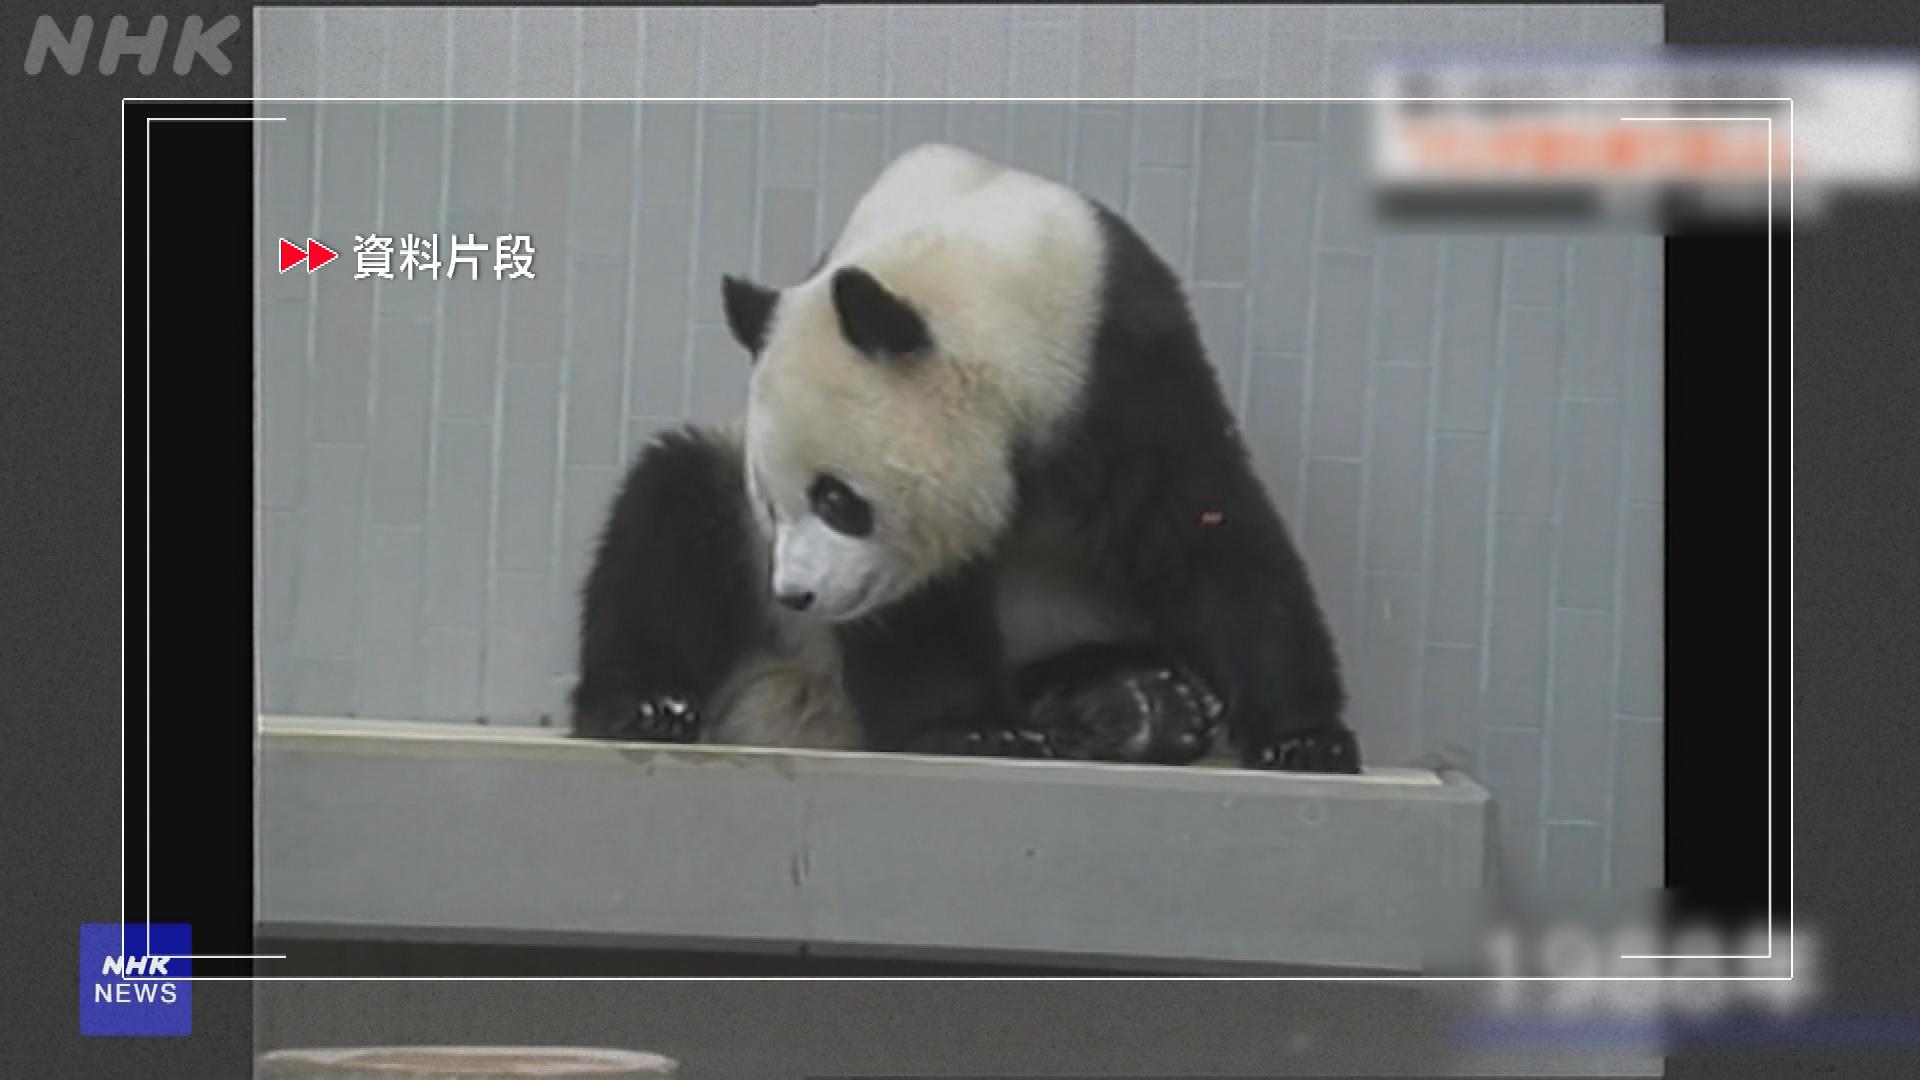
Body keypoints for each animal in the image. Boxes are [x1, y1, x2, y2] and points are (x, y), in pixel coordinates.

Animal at [572, 143, 1358, 773]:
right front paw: (971, 728)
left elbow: (1209, 531)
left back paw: (1140, 706)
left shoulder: (1129, 369)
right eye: (771, 501)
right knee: (671, 509)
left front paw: (1305, 739)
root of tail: (806, 712)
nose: (796, 594)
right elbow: (918, 608)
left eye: (837, 500)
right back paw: (645, 705)